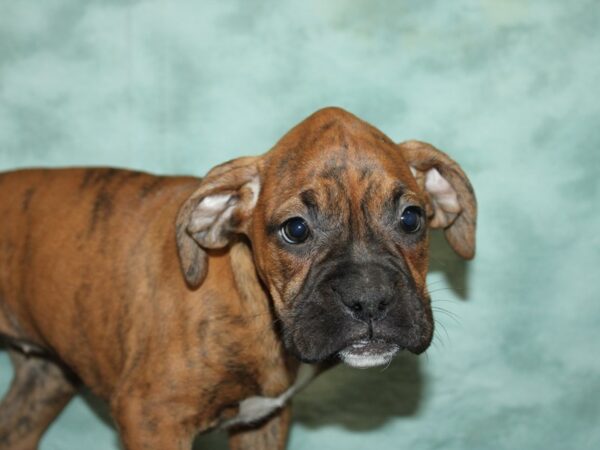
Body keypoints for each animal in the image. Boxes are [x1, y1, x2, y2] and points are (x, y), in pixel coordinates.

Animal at [0, 107, 478, 448]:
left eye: (411, 219)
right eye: (296, 229)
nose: (369, 299)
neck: (253, 301)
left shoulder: (263, 423)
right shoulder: (153, 418)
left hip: (44, 381)